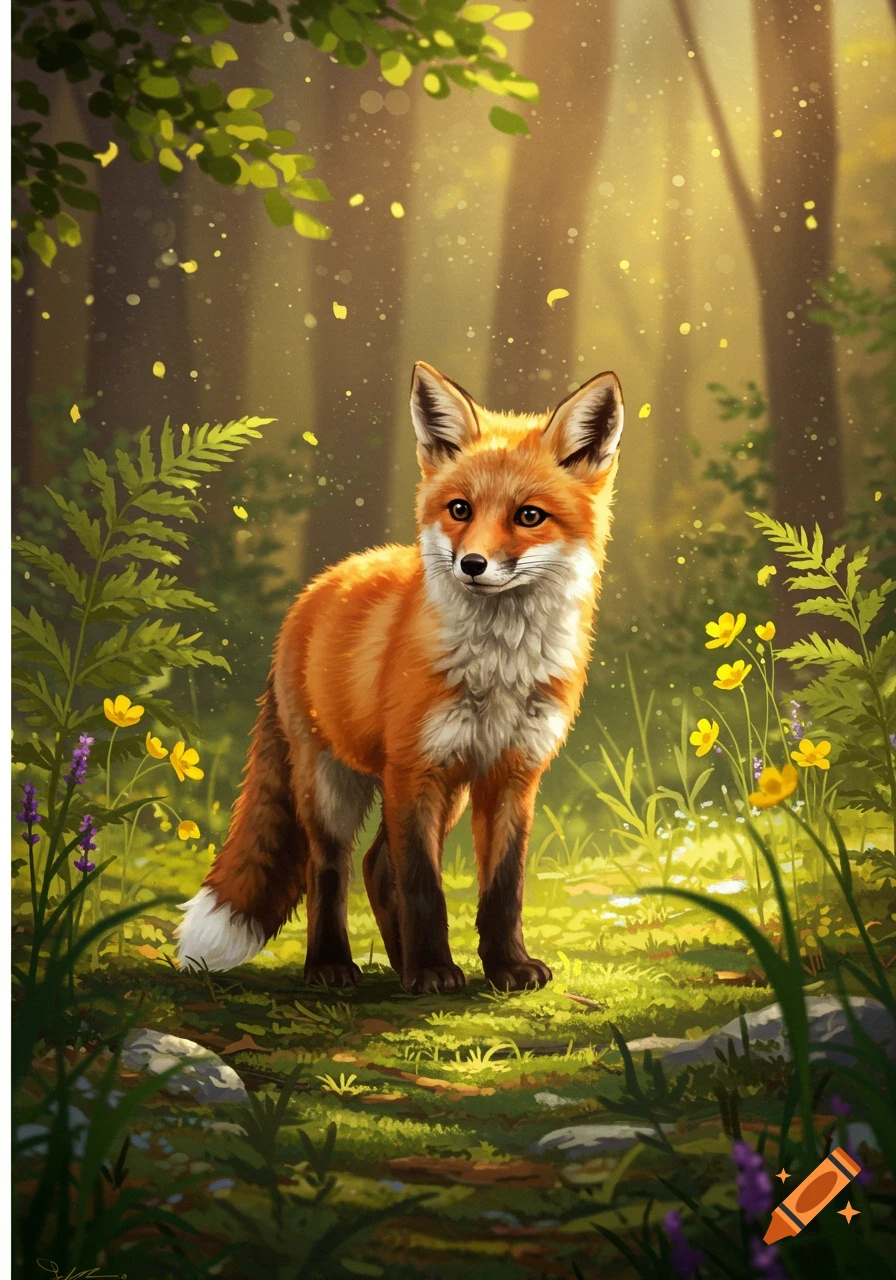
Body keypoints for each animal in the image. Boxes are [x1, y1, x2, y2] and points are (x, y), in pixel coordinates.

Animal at [176, 361, 625, 994]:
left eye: (529, 516)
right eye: (460, 510)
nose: (472, 565)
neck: (498, 671)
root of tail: (317, 588)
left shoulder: (513, 775)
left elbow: (503, 889)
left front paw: (506, 967)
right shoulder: (415, 769)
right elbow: (423, 886)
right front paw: (434, 970)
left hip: (446, 792)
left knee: (376, 865)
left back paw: (397, 963)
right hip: (332, 783)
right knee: (330, 868)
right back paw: (334, 965)